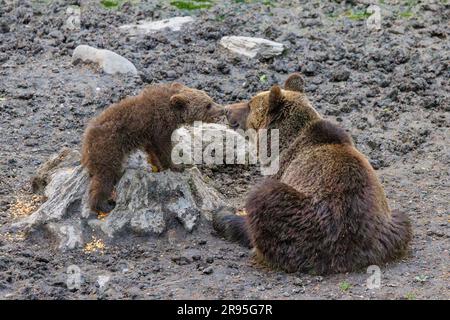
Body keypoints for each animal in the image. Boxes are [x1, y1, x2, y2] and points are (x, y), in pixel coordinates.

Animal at [81, 82, 225, 214]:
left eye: (211, 99)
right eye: (208, 105)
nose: (222, 109)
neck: (173, 112)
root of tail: (87, 139)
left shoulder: (150, 134)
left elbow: (153, 151)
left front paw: (159, 166)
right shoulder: (160, 126)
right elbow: (164, 149)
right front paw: (177, 166)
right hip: (108, 147)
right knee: (104, 176)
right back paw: (104, 205)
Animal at [214, 73, 412, 276]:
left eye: (249, 104)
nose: (227, 109)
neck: (281, 142)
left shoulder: (282, 170)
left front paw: (227, 213)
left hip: (307, 222)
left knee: (264, 202)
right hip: (392, 225)